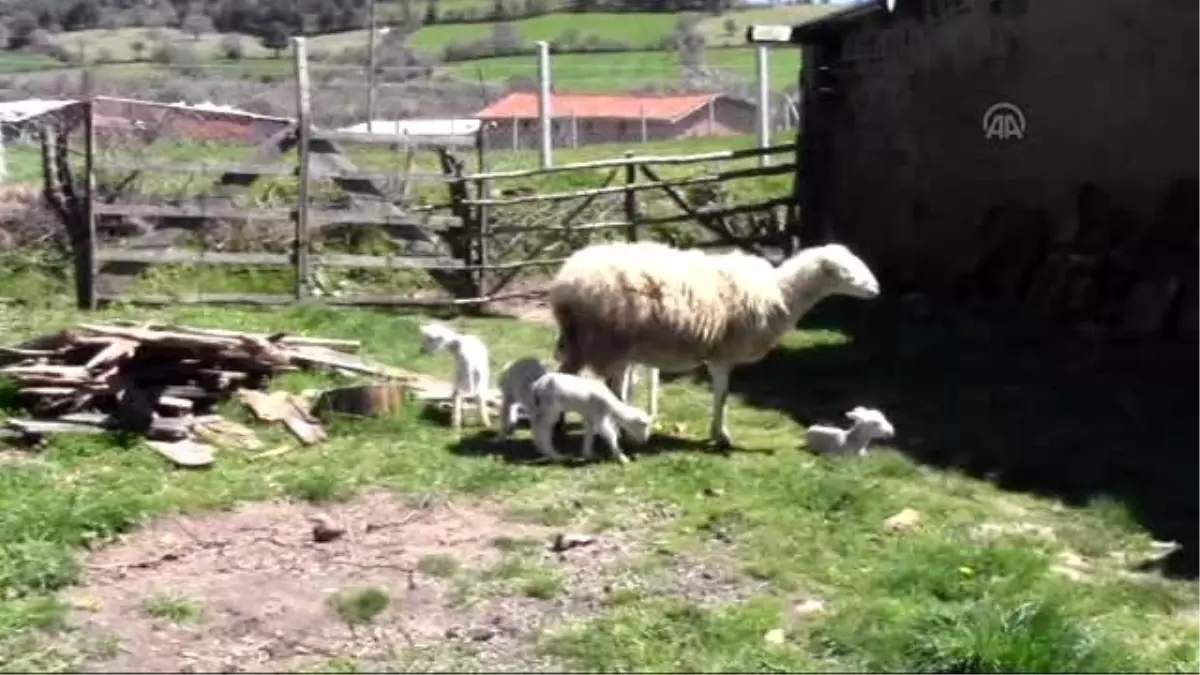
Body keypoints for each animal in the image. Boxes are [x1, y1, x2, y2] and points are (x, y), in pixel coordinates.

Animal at [552, 239, 883, 449]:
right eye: (846, 271)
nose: (876, 290)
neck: (779, 294)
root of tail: (566, 281)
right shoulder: (724, 354)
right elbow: (722, 395)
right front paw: (721, 436)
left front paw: (717, 433)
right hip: (603, 340)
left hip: (588, 342)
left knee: (568, 376)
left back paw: (563, 427)